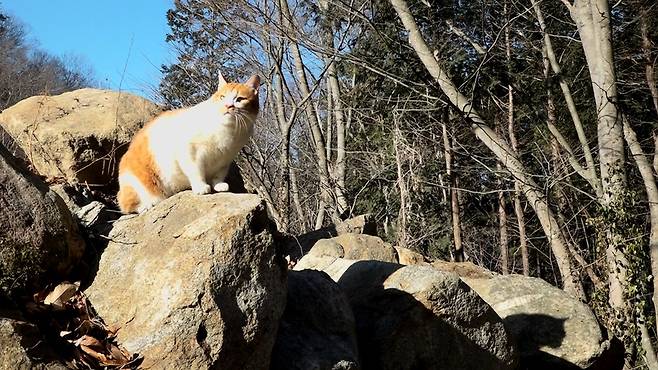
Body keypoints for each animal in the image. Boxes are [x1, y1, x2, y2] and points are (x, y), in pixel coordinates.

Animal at [116, 73, 260, 212]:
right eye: (222, 97)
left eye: (239, 99)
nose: (228, 105)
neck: (228, 131)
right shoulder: (190, 153)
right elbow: (196, 171)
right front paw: (201, 187)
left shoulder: (225, 160)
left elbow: (219, 175)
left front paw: (218, 184)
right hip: (137, 183)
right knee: (127, 205)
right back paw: (147, 205)